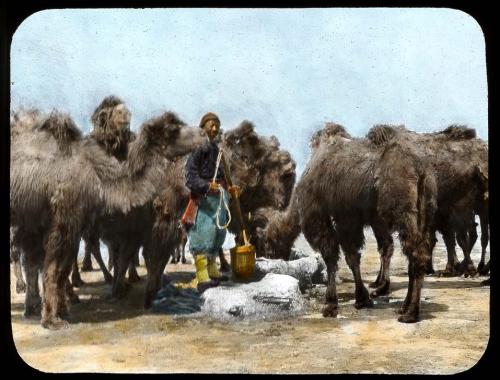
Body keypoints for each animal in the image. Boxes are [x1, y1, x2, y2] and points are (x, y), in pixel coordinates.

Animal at [10, 107, 205, 330]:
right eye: (172, 129)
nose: (204, 134)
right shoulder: (66, 217)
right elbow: (54, 268)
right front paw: (53, 320)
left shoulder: (37, 222)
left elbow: (40, 264)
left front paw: (40, 311)